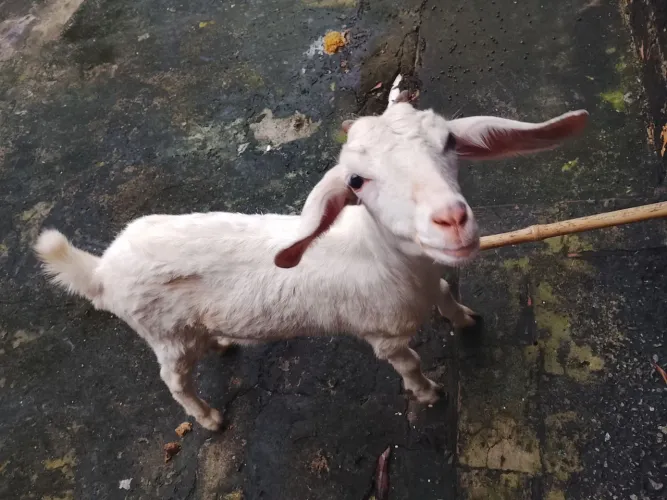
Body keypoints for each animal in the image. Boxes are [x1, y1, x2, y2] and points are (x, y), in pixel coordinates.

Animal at [34, 97, 588, 430]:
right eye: (357, 181)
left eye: (450, 143)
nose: (451, 220)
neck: (392, 264)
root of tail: (101, 270)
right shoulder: (383, 334)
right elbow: (408, 364)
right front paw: (428, 394)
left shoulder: (434, 284)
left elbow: (451, 299)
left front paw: (466, 318)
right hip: (163, 332)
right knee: (174, 379)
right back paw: (207, 417)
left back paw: (223, 342)